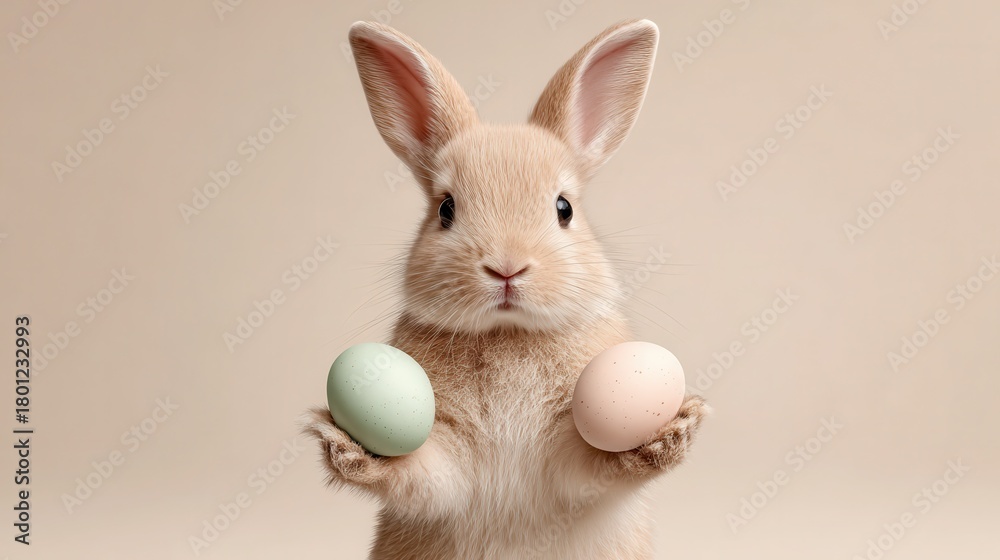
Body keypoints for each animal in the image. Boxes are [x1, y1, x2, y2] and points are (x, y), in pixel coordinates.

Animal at [303, 18, 709, 560]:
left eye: (564, 208)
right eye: (446, 209)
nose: (506, 268)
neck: (508, 334)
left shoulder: (569, 456)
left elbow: (594, 467)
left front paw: (668, 436)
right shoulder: (446, 458)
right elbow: (422, 474)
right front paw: (348, 448)